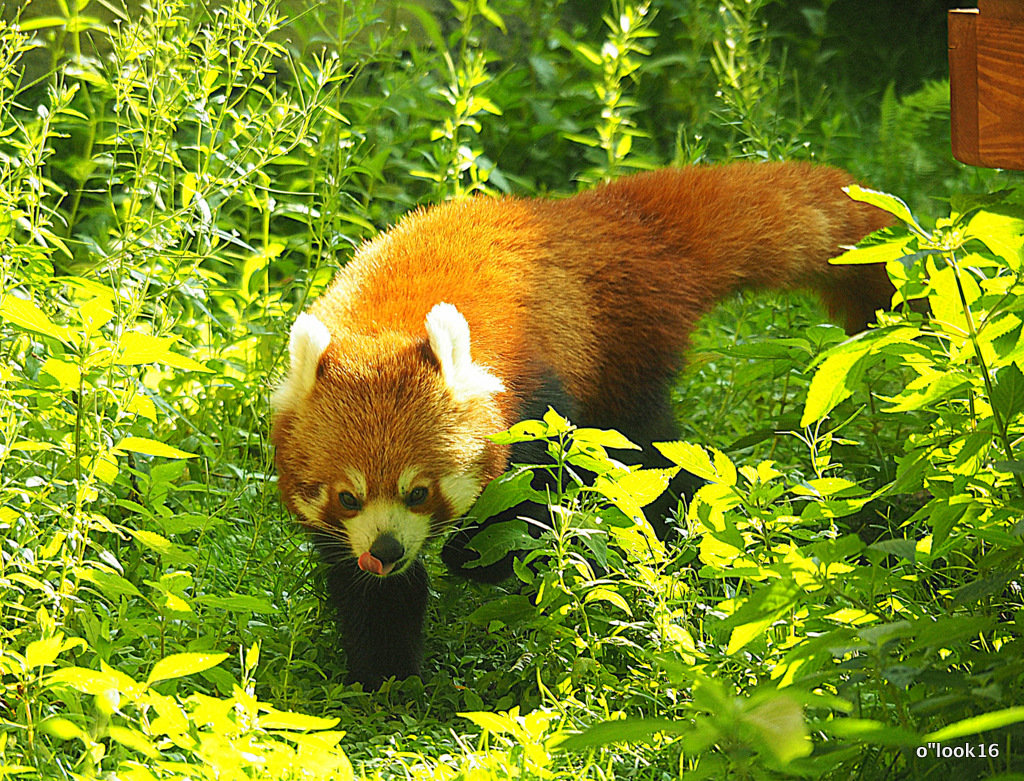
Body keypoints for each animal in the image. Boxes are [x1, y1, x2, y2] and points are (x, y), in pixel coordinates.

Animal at [268, 161, 892, 687]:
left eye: (419, 491)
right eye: (348, 498)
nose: (388, 548)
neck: (383, 323)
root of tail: (595, 216)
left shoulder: (535, 397)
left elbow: (537, 501)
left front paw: (476, 558)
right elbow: (369, 592)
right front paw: (383, 674)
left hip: (622, 358)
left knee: (656, 465)